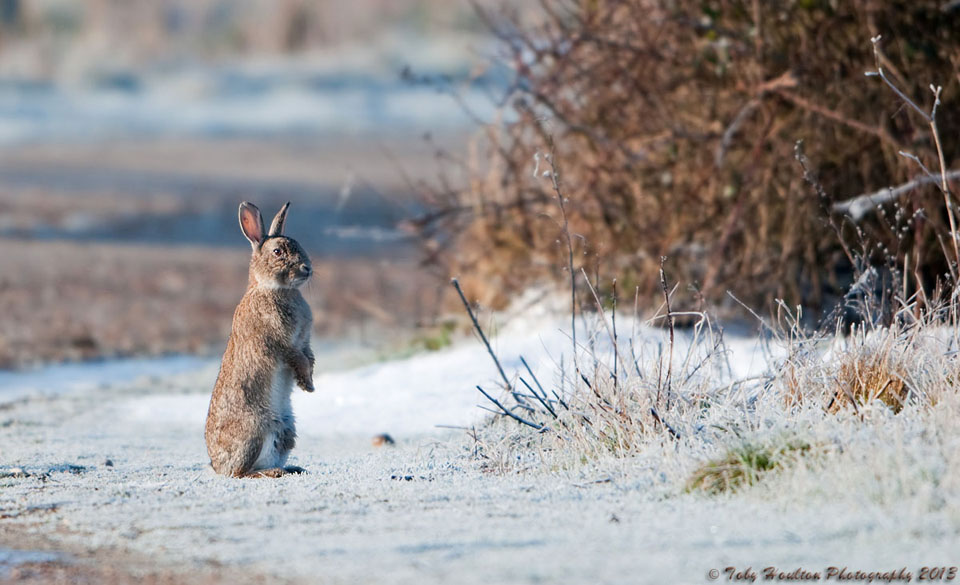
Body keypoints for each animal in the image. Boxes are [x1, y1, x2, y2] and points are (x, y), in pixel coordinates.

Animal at [205, 201, 316, 480]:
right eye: (277, 251)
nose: (307, 269)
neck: (273, 289)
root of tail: (217, 466)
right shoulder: (280, 343)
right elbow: (297, 358)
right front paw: (306, 385)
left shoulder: (305, 342)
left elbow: (309, 358)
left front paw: (308, 386)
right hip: (254, 430)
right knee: (240, 473)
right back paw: (271, 473)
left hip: (286, 429)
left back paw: (290, 468)